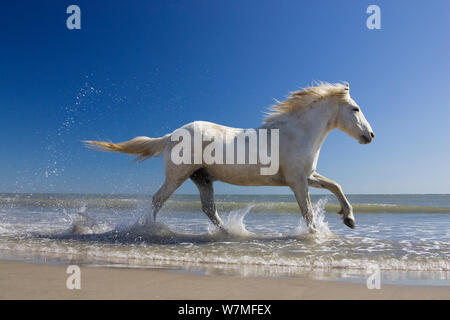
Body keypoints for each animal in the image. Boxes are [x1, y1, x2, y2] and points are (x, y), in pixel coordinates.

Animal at [86, 82, 374, 232]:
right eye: (355, 108)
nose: (370, 135)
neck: (296, 133)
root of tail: (171, 135)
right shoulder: (297, 181)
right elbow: (307, 212)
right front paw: (316, 235)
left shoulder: (308, 176)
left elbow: (336, 186)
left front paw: (349, 218)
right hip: (178, 175)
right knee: (157, 200)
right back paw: (149, 230)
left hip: (202, 178)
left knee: (208, 208)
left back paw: (229, 233)